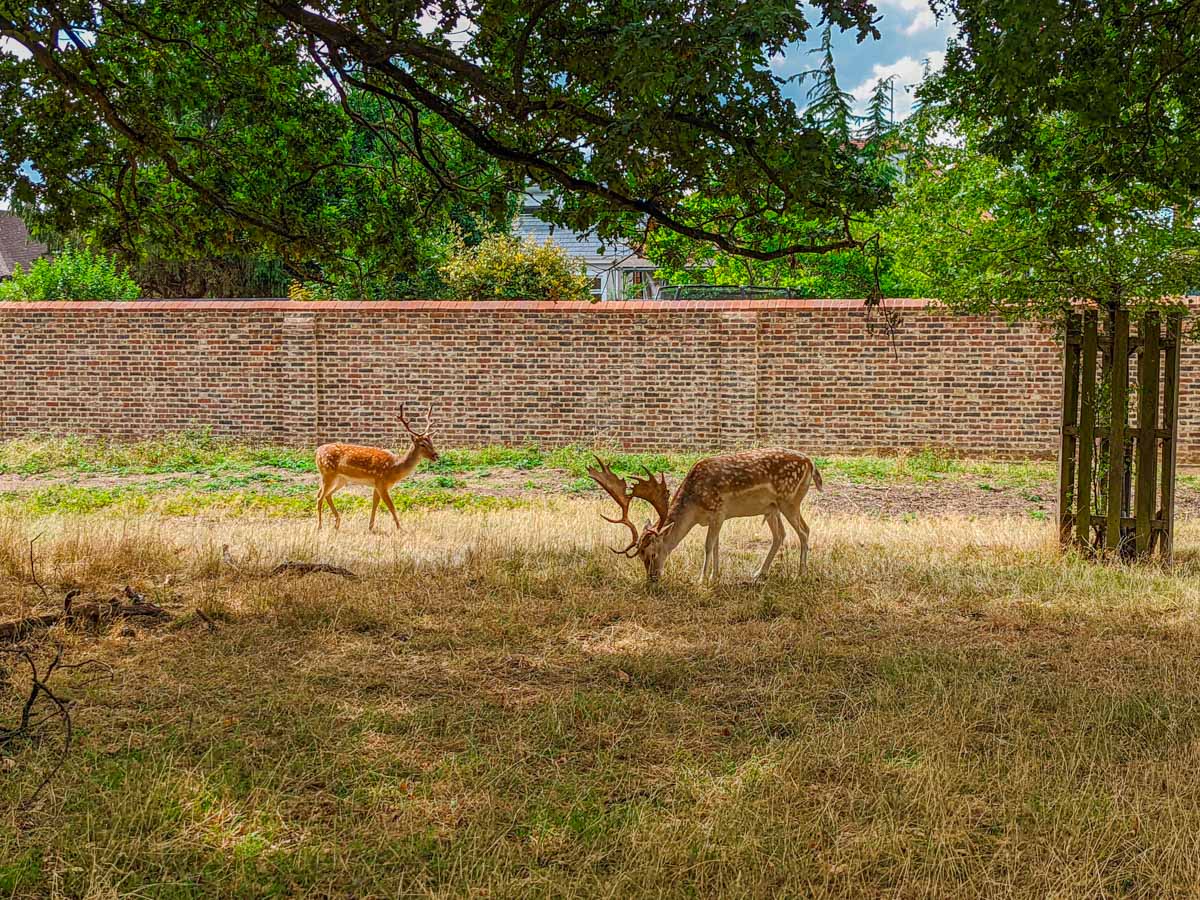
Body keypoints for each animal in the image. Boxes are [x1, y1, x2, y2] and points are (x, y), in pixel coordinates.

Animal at [590, 448, 825, 585]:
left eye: (653, 553)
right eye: (640, 556)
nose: (652, 579)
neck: (695, 508)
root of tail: (812, 463)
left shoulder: (719, 510)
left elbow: (708, 545)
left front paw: (701, 579)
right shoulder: (717, 518)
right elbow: (717, 545)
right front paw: (715, 577)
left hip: (790, 500)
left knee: (804, 530)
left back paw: (800, 574)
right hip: (772, 507)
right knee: (780, 535)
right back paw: (759, 574)